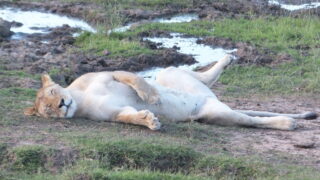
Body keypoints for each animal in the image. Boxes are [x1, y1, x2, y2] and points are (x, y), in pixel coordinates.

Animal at [25, 55, 318, 130]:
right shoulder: (113, 113)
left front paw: (152, 98)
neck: (81, 98)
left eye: (54, 91)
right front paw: (149, 120)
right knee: (251, 121)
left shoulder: (109, 73)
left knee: (203, 75)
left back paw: (228, 58)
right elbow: (128, 116)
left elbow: (133, 78)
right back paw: (286, 123)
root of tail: (210, 100)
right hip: (217, 115)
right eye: (47, 109)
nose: (62, 104)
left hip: (170, 73)